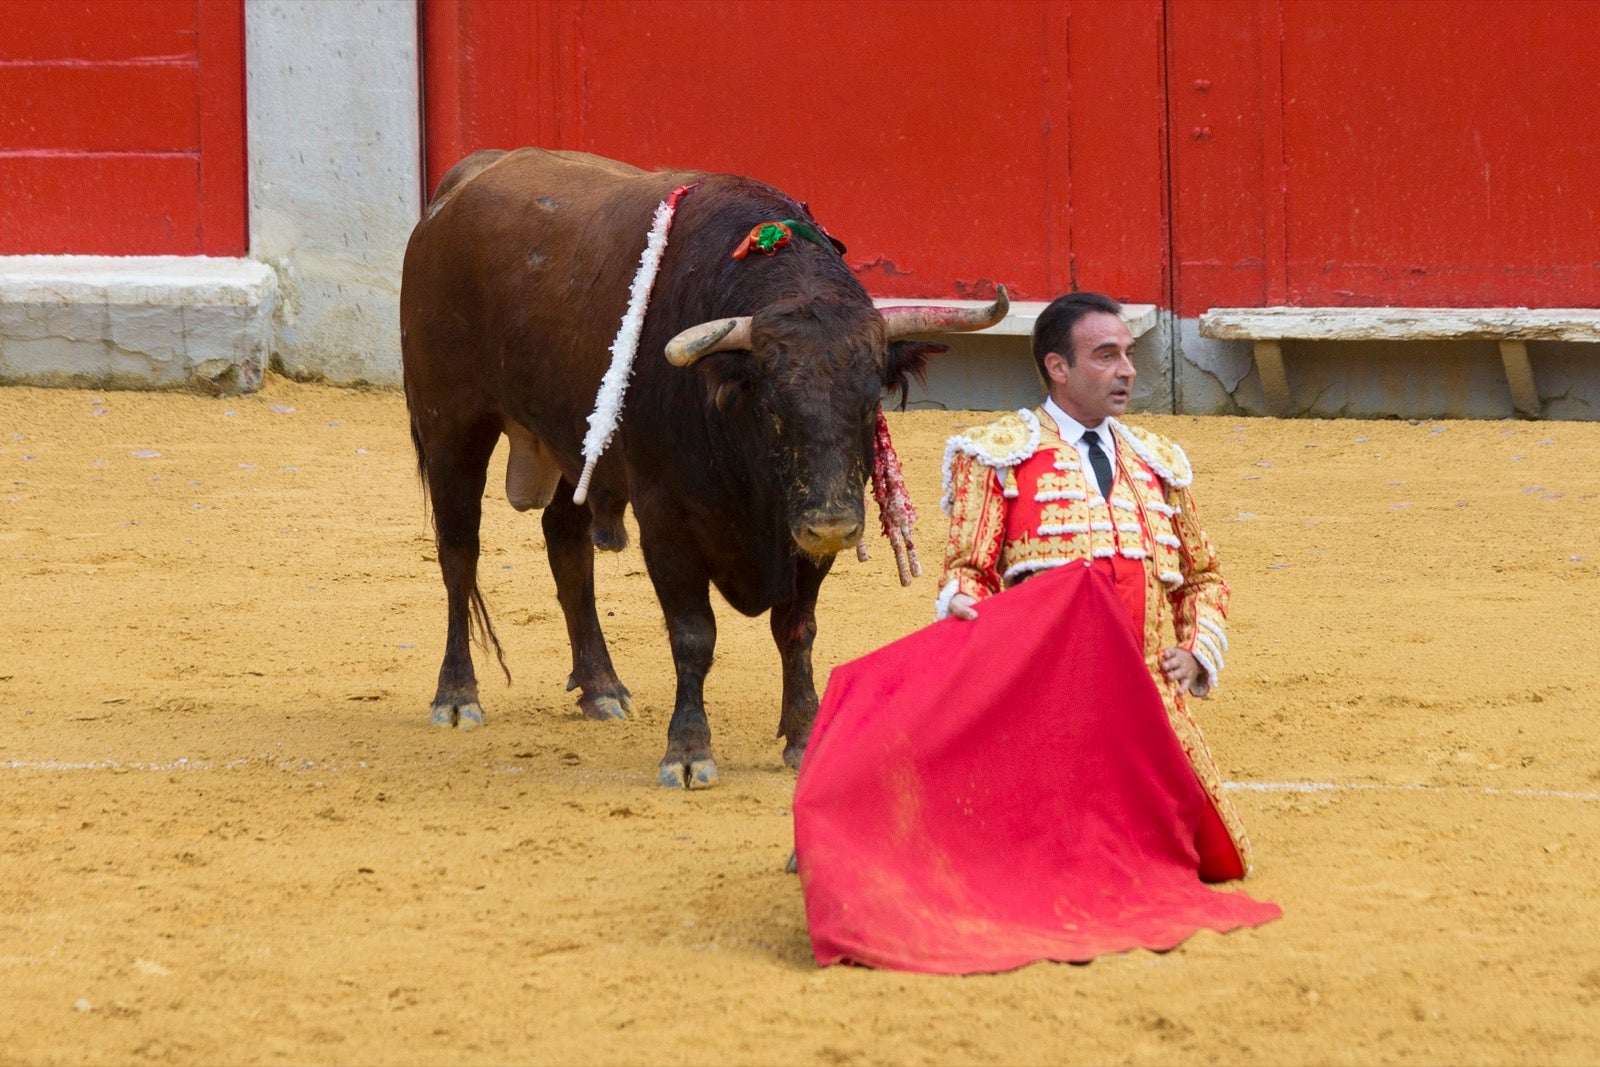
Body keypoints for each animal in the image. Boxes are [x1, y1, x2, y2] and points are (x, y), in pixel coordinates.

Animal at [400, 147, 998, 783]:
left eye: (869, 401)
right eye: (769, 403)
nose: (834, 527)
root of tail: (460, 187)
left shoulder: (803, 526)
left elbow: (797, 629)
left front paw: (803, 734)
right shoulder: (667, 521)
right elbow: (693, 634)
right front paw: (688, 751)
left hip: (575, 443)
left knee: (566, 542)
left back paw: (601, 687)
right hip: (450, 423)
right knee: (459, 550)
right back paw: (457, 696)